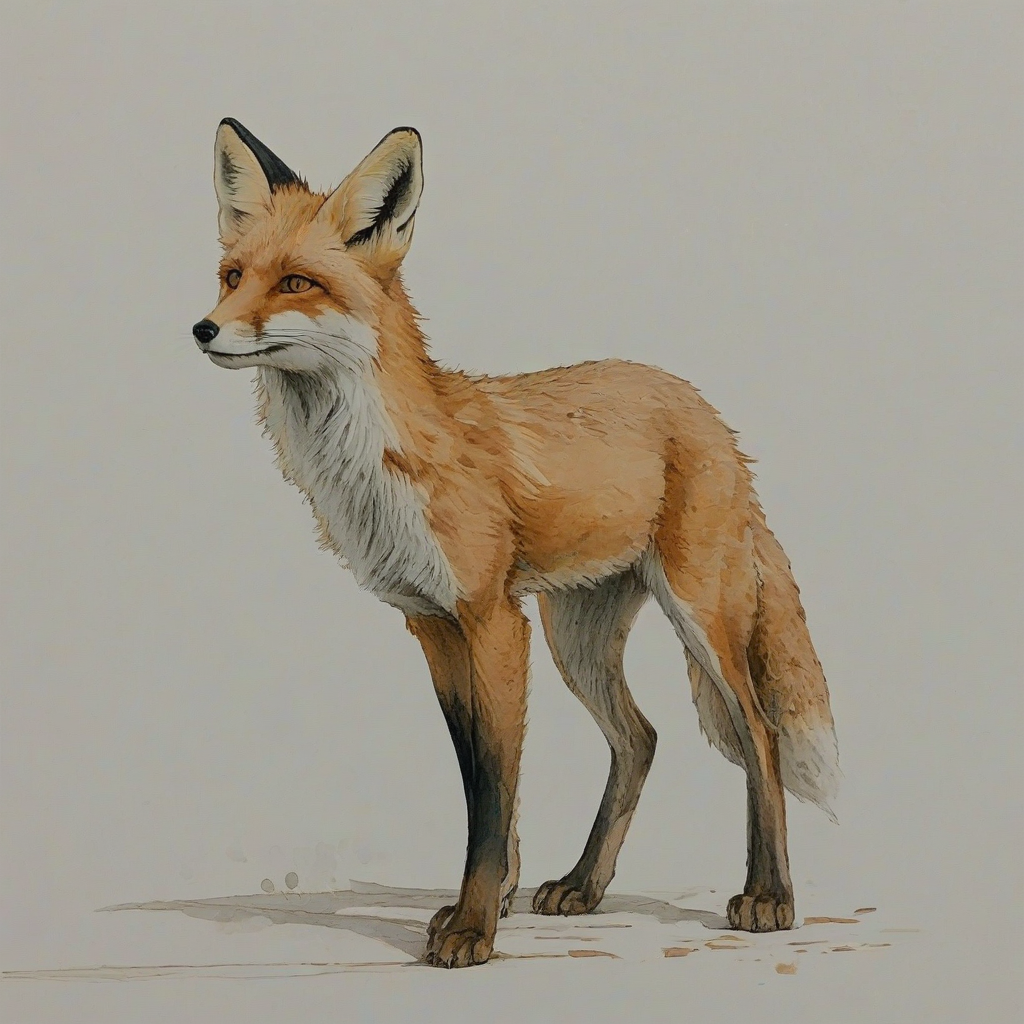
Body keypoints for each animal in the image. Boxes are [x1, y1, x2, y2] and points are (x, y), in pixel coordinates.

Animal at [192, 118, 840, 969]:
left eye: (296, 283)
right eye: (232, 276)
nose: (203, 328)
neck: (383, 467)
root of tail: (705, 410)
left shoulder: (493, 620)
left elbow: (495, 793)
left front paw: (474, 928)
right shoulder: (432, 625)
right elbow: (477, 781)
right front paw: (490, 898)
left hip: (698, 614)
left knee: (758, 734)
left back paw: (770, 896)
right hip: (578, 638)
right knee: (640, 738)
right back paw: (584, 885)